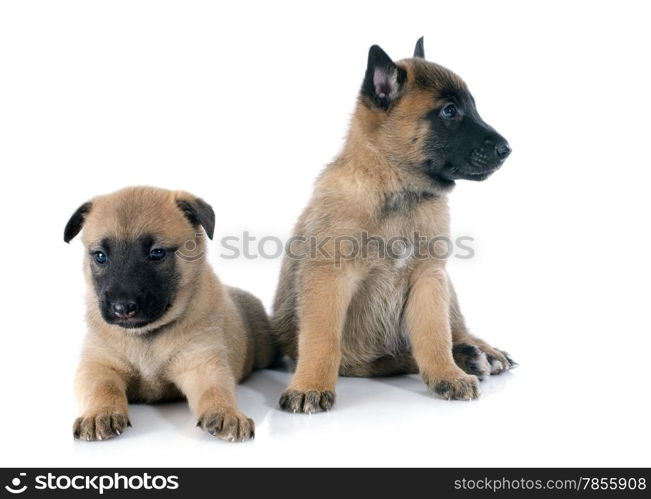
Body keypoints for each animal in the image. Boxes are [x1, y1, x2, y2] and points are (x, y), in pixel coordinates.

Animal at [63, 187, 272, 442]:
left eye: (157, 253)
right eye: (100, 256)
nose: (122, 308)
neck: (147, 336)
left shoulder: (202, 364)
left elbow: (215, 389)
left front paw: (226, 412)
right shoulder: (98, 365)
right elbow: (102, 388)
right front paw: (99, 413)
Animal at [272, 37, 516, 414]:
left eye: (473, 107)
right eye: (449, 111)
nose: (507, 149)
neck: (396, 190)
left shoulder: (429, 277)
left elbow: (435, 334)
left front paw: (448, 375)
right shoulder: (329, 279)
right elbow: (321, 338)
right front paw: (309, 385)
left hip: (447, 284)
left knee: (455, 330)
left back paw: (478, 352)